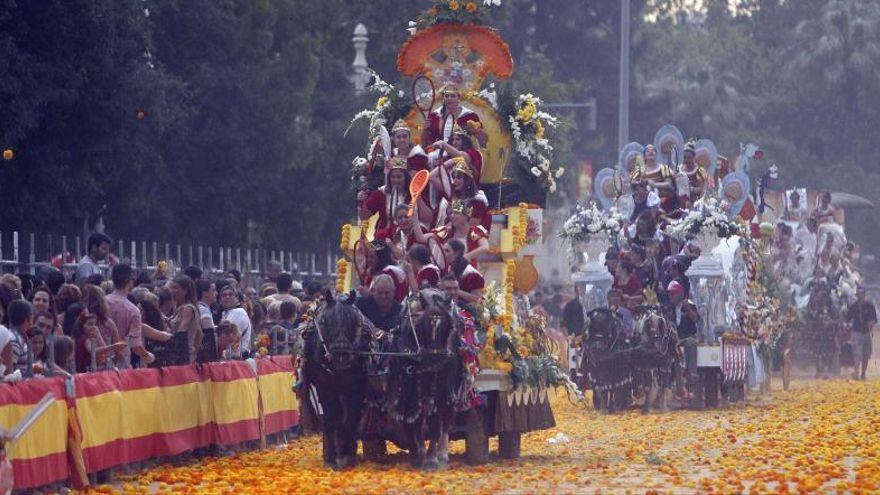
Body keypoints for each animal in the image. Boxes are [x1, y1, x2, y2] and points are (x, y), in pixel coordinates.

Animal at [300, 292, 372, 470]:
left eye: (354, 322)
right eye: (325, 321)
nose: (341, 354)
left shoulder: (356, 387)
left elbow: (351, 417)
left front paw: (347, 452)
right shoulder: (324, 386)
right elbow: (332, 417)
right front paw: (332, 457)